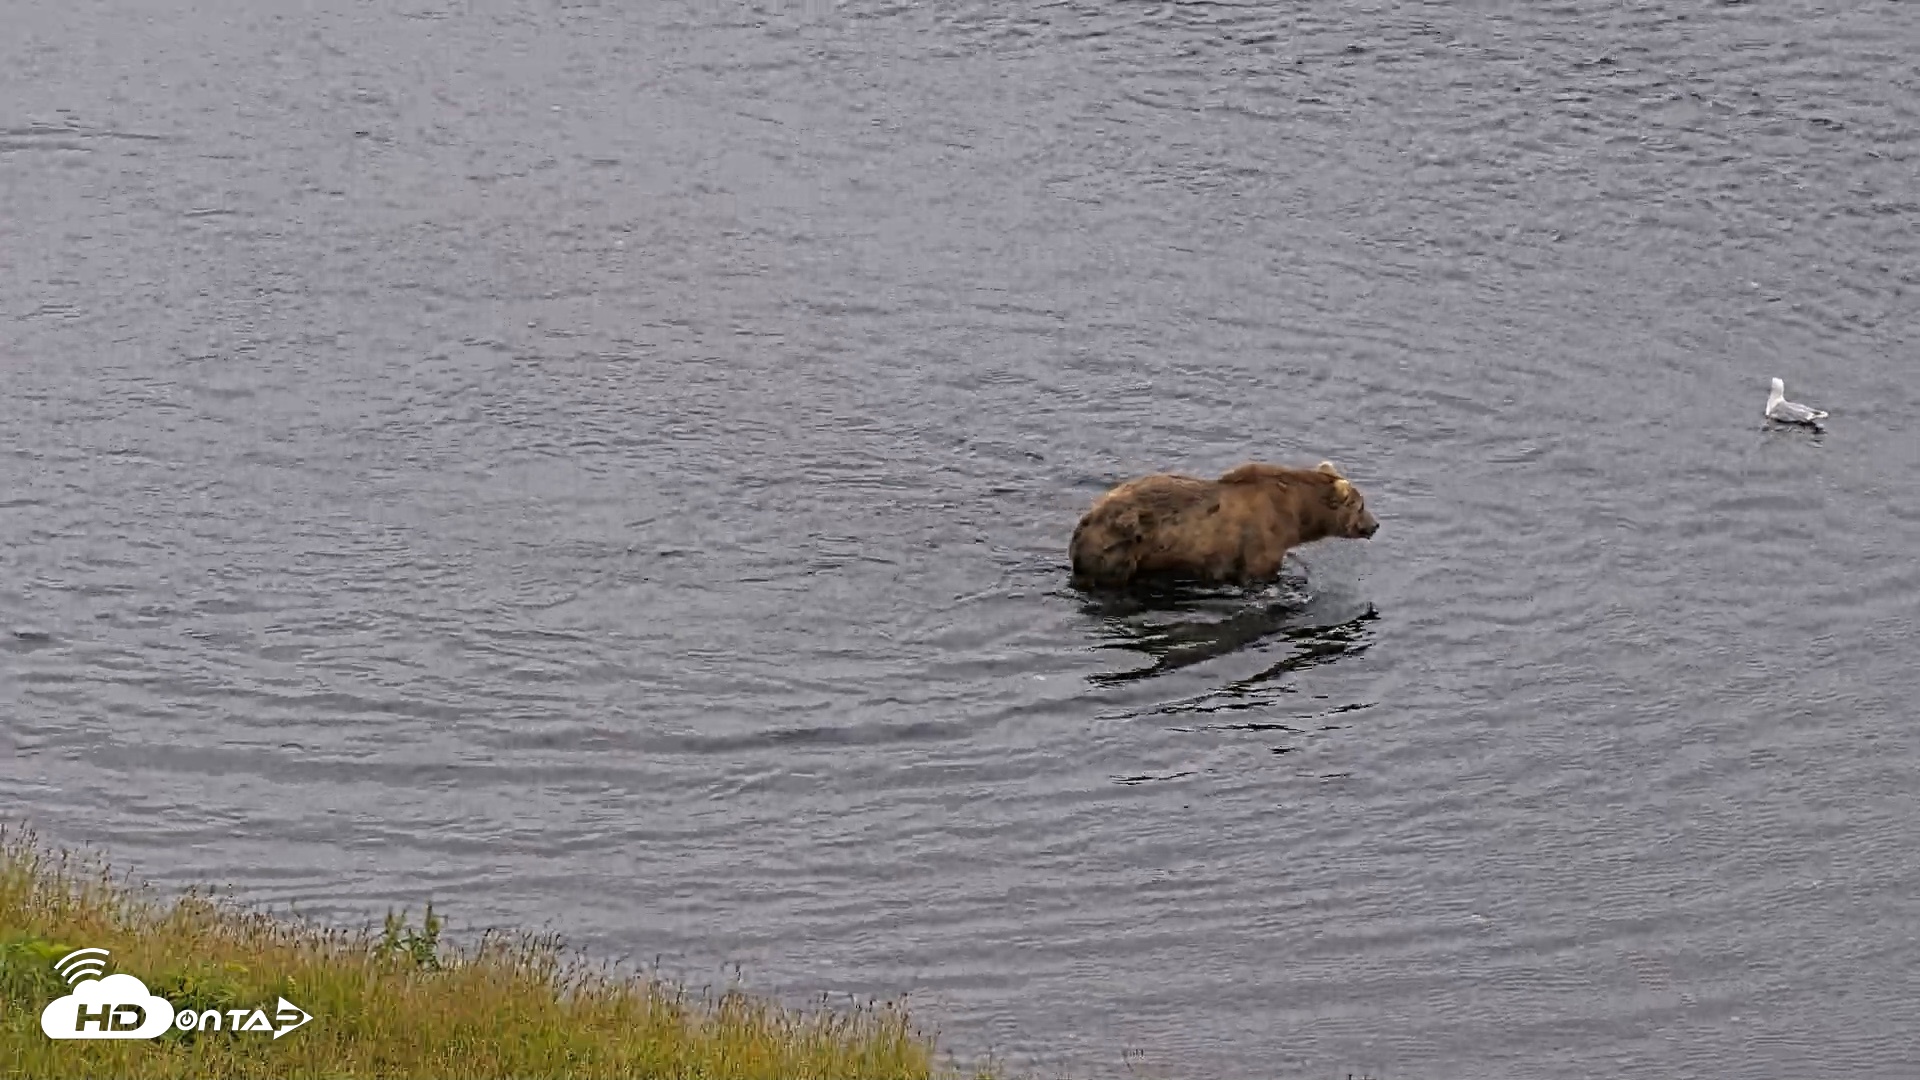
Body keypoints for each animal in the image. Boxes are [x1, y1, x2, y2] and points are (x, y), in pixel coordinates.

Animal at [1068, 460, 1379, 590]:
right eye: (1362, 505)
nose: (1375, 525)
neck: (1295, 512)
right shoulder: (1260, 538)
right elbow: (1259, 571)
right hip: (1119, 547)